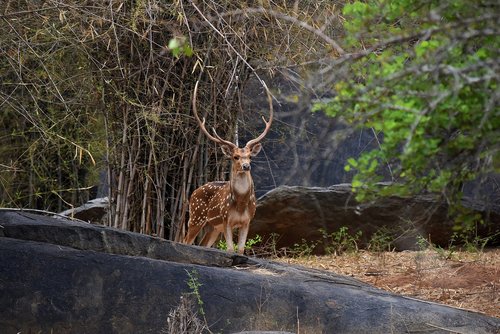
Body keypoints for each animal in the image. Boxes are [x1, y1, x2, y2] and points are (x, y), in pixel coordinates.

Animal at [182, 81, 274, 253]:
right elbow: (230, 250)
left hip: (212, 227)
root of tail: (193, 193)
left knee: (202, 243)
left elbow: (240, 250)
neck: (240, 204)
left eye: (250, 156)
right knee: (185, 240)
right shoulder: (226, 219)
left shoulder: (247, 220)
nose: (246, 166)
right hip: (196, 216)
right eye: (235, 156)